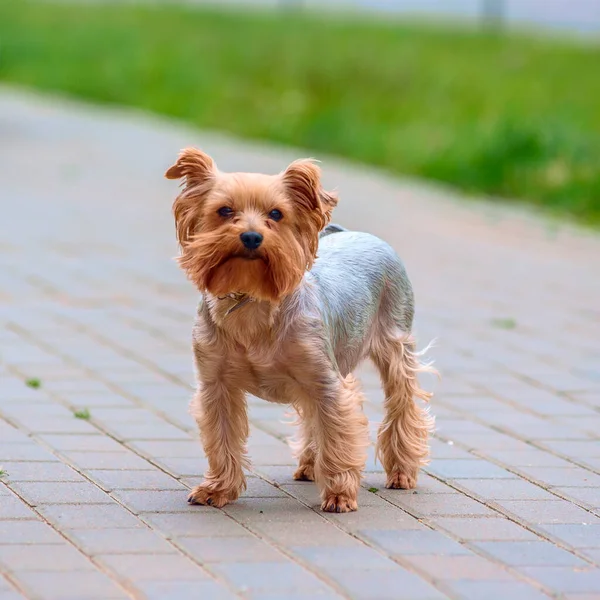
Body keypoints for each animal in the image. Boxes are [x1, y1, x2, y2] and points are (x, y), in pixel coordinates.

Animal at [166, 149, 434, 510]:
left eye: (276, 214)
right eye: (224, 211)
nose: (251, 236)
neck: (252, 299)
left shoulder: (325, 382)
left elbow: (337, 432)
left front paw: (339, 494)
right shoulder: (216, 384)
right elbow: (222, 439)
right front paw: (217, 489)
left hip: (395, 342)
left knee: (401, 403)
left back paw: (402, 472)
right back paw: (309, 465)